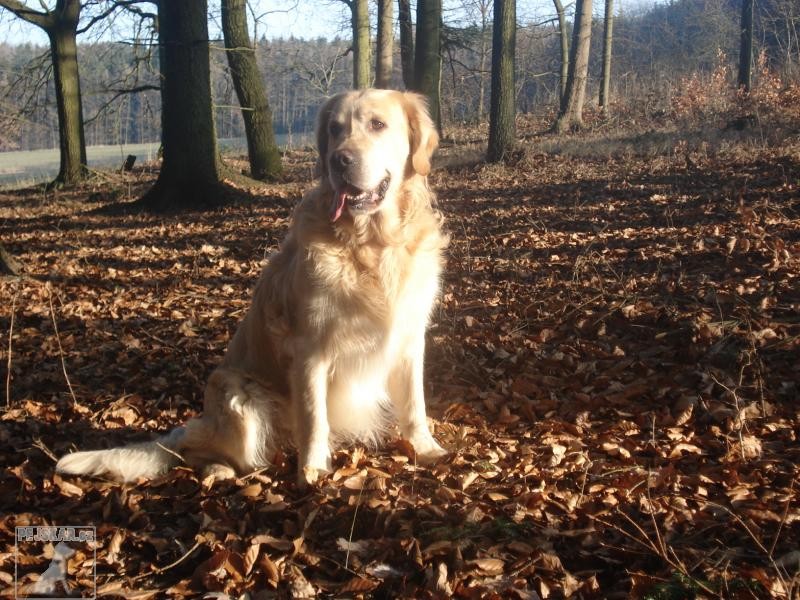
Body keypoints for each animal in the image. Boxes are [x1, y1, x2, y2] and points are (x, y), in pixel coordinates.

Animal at [57, 89, 450, 486]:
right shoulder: (310, 348)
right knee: (200, 453)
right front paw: (312, 472)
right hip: (238, 397)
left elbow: (415, 404)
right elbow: (314, 419)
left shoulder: (409, 337)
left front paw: (426, 448)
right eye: (335, 129)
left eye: (377, 124)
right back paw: (218, 467)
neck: (373, 243)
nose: (339, 160)